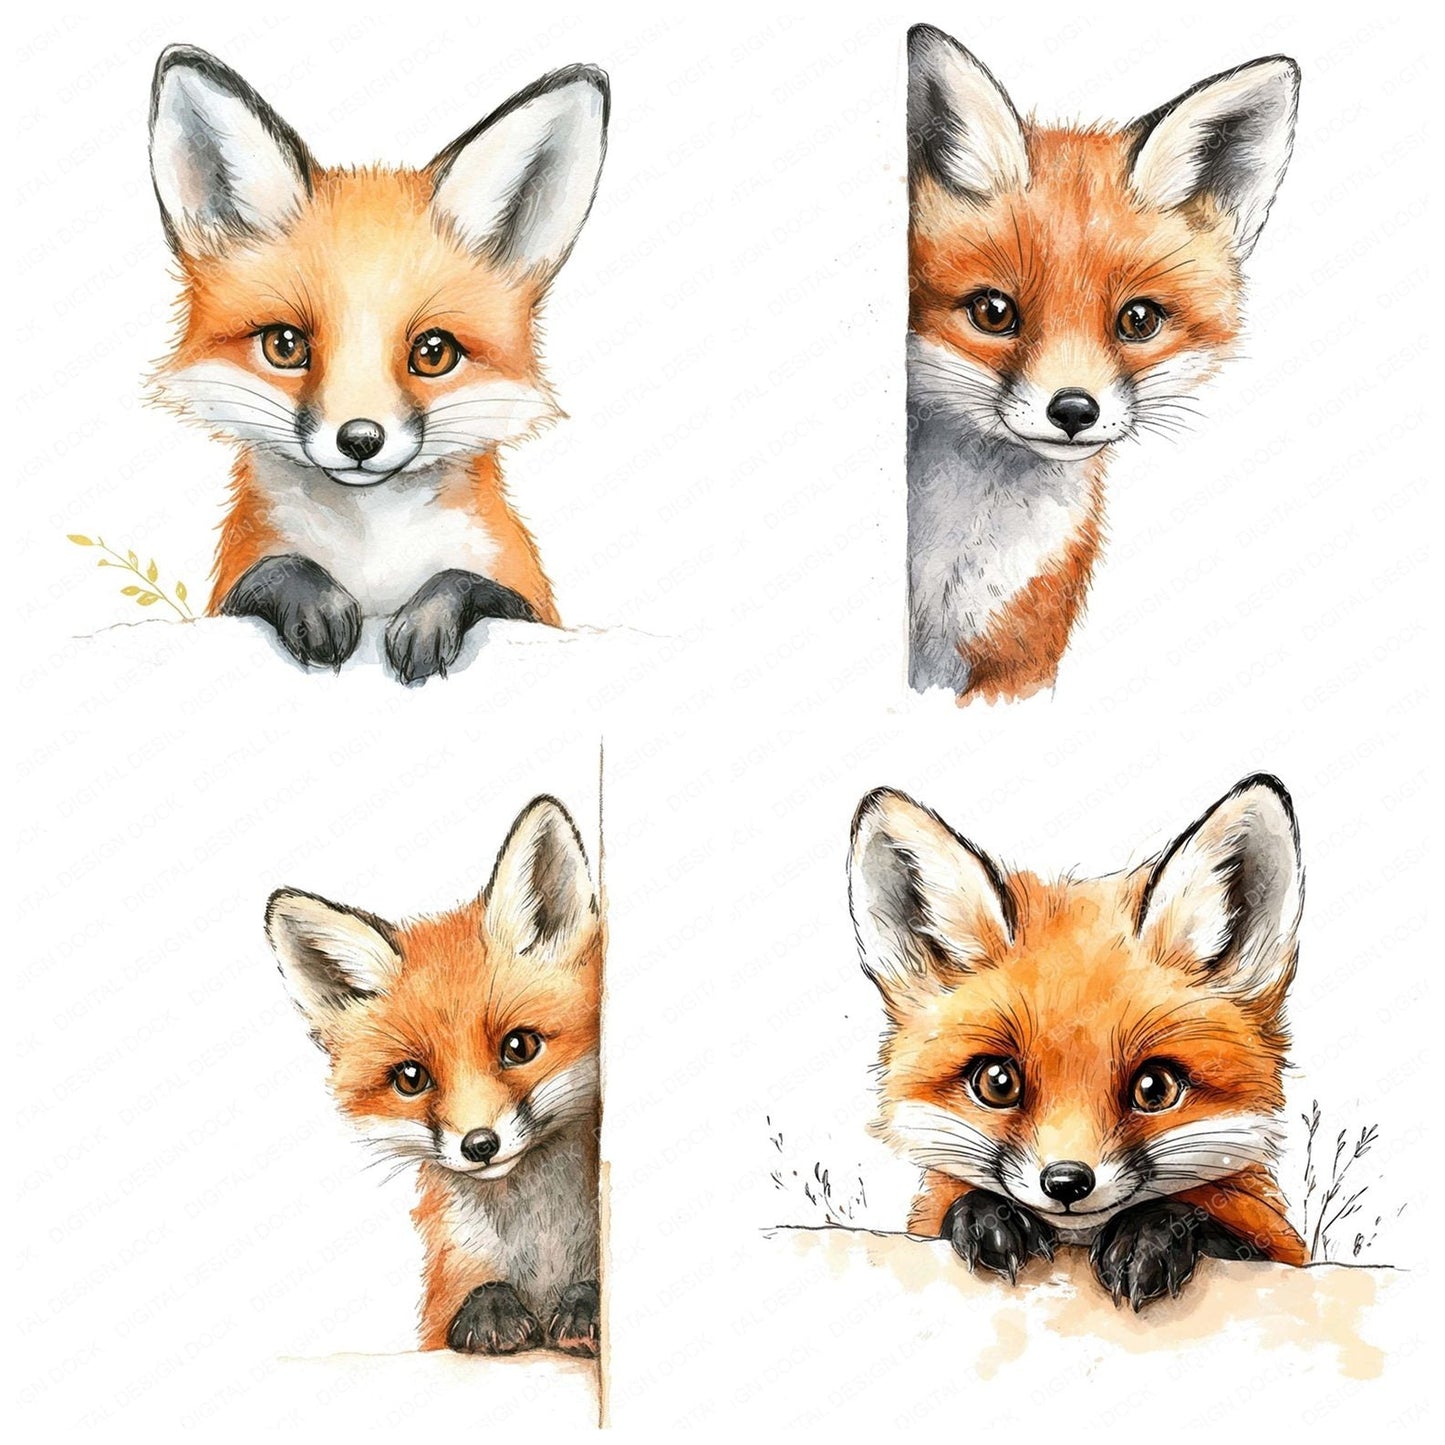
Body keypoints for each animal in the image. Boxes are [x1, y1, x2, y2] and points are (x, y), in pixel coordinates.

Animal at [147, 46, 609, 683]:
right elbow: (280, 568)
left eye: (433, 353)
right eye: (285, 346)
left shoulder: (525, 597)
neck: (372, 552)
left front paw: (427, 622)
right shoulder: (235, 584)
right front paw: (316, 605)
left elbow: (463, 580)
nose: (360, 440)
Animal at [264, 795, 602, 1354]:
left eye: (519, 1046)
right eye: (410, 1078)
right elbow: (471, 1298)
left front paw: (585, 1304)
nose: (480, 1145)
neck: (541, 1240)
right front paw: (490, 1309)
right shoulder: (443, 1300)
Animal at [848, 774, 1309, 1311]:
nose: (1067, 1181)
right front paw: (987, 1218)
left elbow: (1214, 1227)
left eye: (1155, 1088)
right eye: (997, 1082)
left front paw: (1149, 1234)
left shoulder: (1280, 1244)